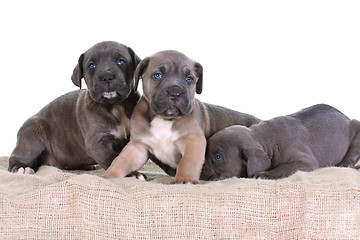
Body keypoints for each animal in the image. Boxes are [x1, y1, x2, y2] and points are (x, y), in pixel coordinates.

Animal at [8, 41, 141, 174]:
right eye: (91, 65)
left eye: (121, 61)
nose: (106, 76)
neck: (116, 105)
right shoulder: (98, 142)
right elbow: (113, 159)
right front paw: (132, 174)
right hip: (32, 135)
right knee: (17, 157)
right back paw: (21, 167)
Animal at [102, 49, 260, 183]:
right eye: (158, 75)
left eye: (189, 78)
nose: (175, 91)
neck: (164, 119)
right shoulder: (138, 146)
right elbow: (121, 160)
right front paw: (108, 175)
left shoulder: (193, 141)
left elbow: (188, 162)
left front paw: (185, 179)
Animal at [201, 103, 360, 180]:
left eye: (218, 157)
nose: (199, 167)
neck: (265, 139)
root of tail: (345, 117)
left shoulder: (305, 161)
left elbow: (284, 167)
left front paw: (266, 175)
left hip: (356, 127)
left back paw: (344, 164)